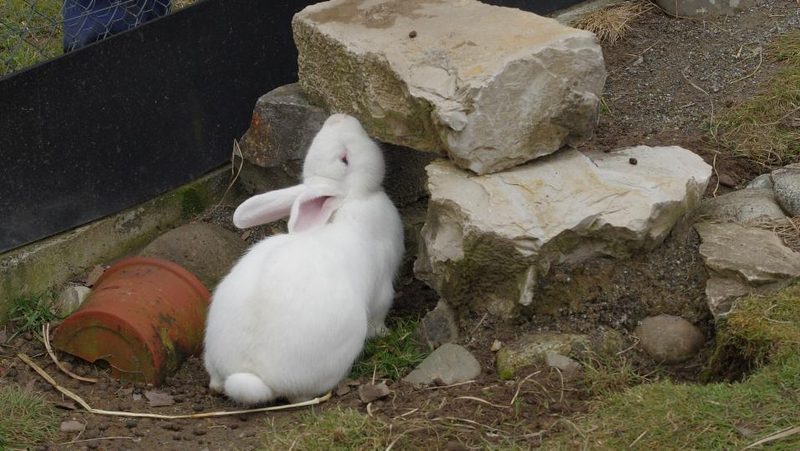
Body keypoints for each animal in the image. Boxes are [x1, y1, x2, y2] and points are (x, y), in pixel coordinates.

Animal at [203, 114, 404, 405]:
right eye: (345, 158)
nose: (339, 116)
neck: (348, 202)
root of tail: (251, 375)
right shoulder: (383, 285)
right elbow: (381, 310)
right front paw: (384, 333)